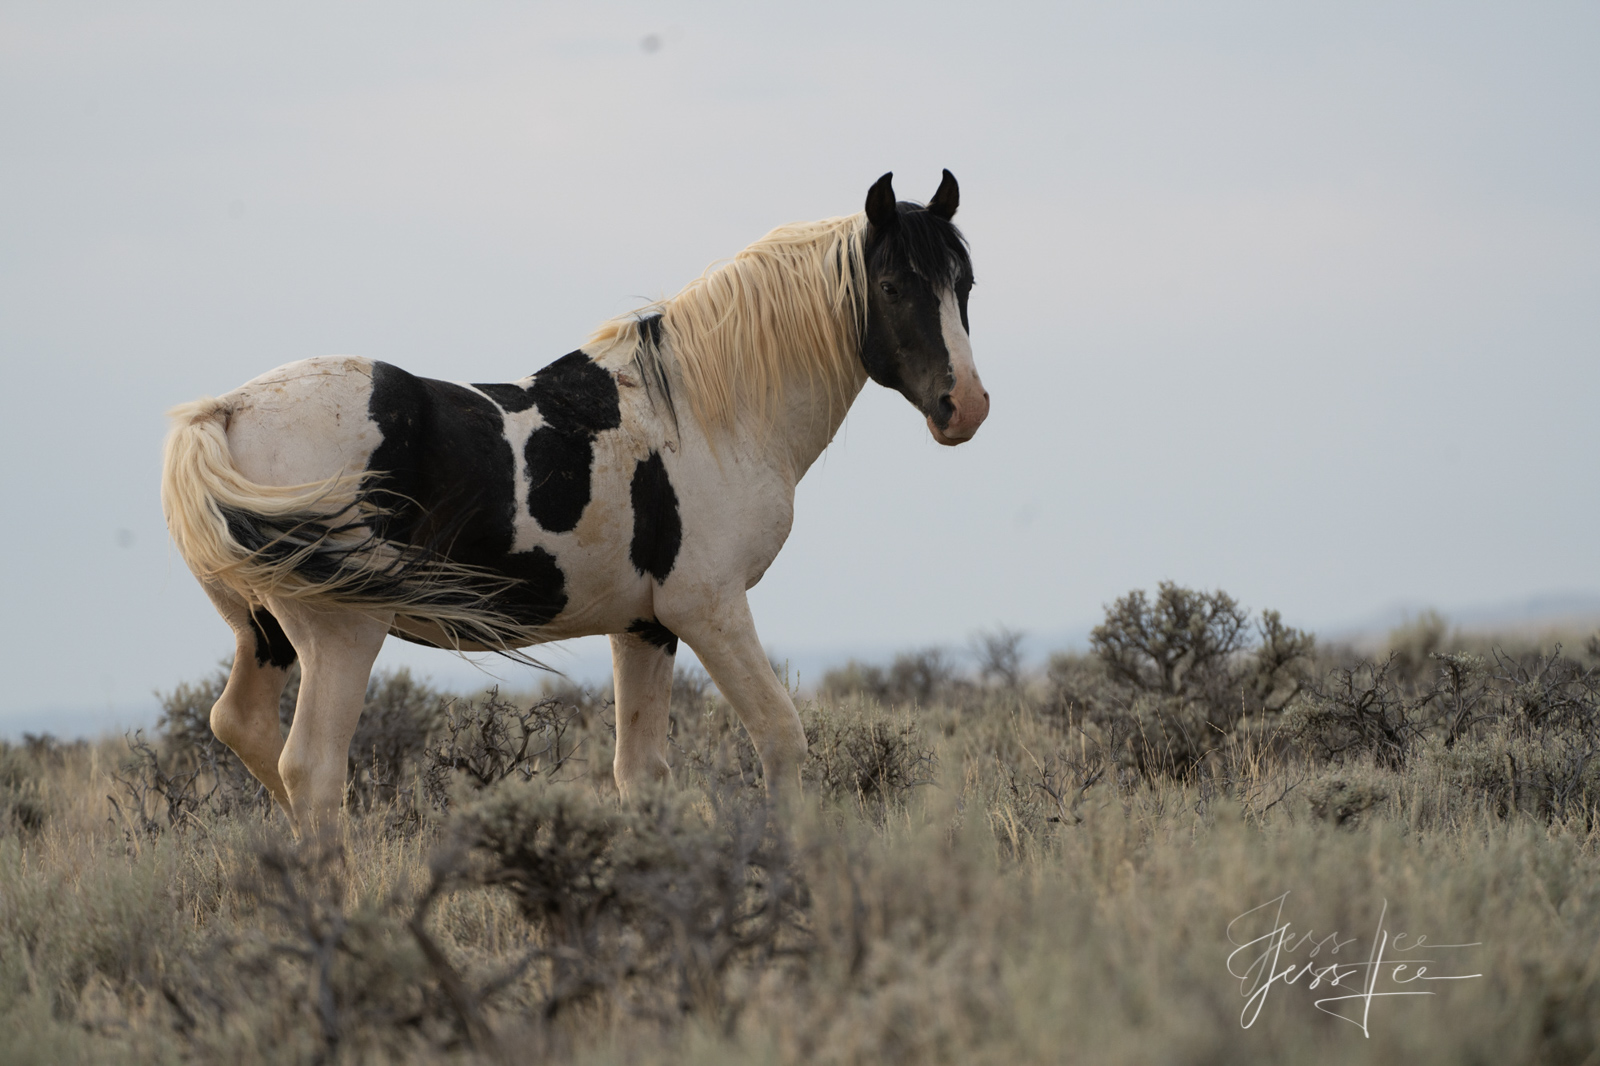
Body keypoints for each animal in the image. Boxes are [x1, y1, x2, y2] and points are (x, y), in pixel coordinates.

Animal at [165, 168, 985, 832]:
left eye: (964, 285)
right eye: (892, 287)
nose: (966, 407)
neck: (704, 414)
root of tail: (228, 412)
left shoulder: (646, 628)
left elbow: (642, 773)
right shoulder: (710, 610)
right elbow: (781, 738)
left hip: (265, 631)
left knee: (244, 729)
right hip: (343, 634)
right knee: (312, 770)